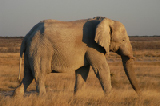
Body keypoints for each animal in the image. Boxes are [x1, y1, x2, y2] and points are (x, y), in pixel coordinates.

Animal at [13, 16, 141, 97]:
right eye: (123, 40)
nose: (140, 94)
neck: (106, 20)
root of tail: (27, 35)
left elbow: (82, 71)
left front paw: (77, 97)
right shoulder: (92, 46)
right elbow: (102, 68)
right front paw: (110, 97)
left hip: (31, 51)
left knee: (28, 75)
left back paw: (16, 97)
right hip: (40, 50)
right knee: (40, 74)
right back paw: (43, 98)